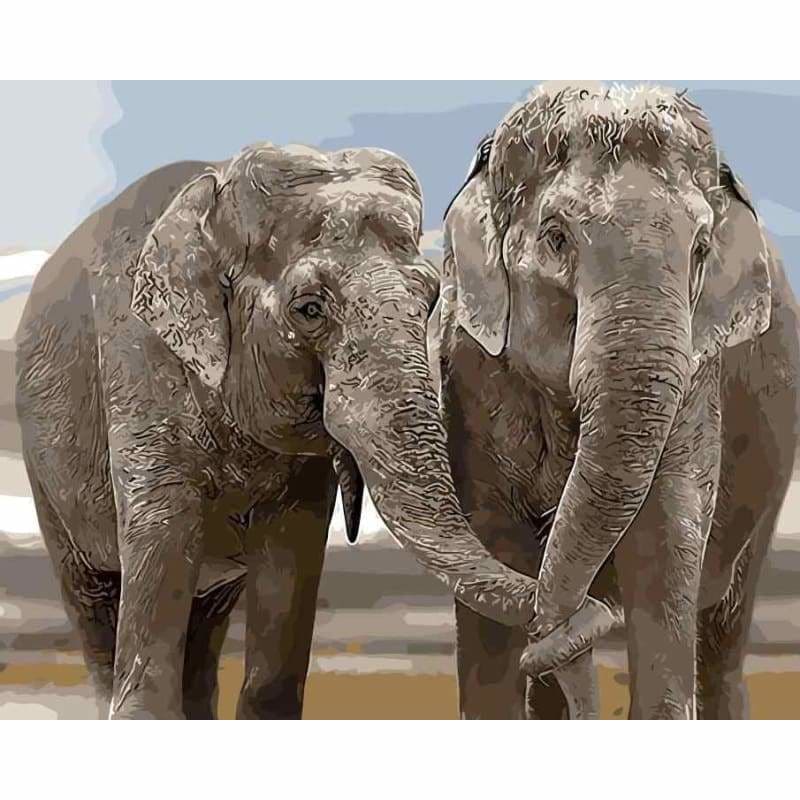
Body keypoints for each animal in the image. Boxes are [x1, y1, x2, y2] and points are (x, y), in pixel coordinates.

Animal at [16, 141, 597, 719]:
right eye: (309, 309)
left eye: (431, 297)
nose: (587, 617)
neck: (214, 196)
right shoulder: (138, 364)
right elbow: (163, 530)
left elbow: (291, 555)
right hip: (46, 475)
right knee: (92, 601)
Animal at [439, 84, 800, 719]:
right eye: (556, 237)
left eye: (700, 248)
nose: (571, 625)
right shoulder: (471, 372)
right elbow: (490, 542)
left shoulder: (696, 377)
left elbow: (664, 537)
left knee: (724, 633)